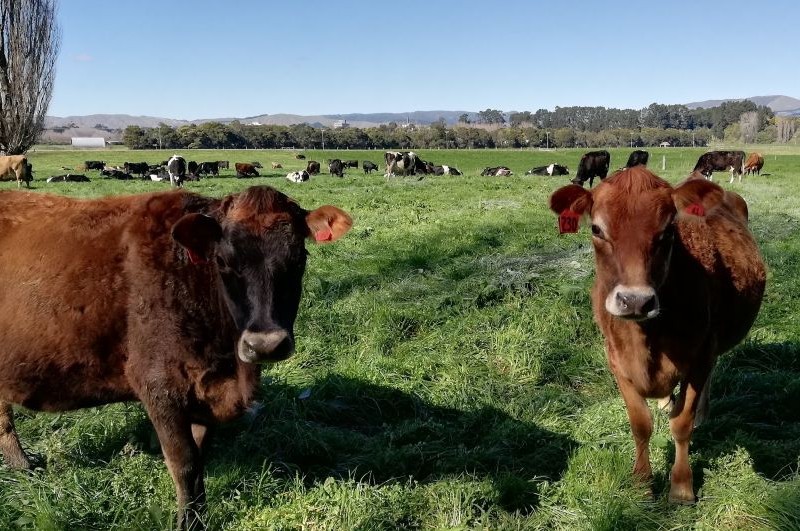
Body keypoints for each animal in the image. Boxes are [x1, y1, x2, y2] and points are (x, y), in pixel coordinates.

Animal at [0, 185, 351, 528]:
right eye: (223, 261)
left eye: (299, 258)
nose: (265, 344)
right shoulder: (161, 389)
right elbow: (184, 463)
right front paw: (189, 522)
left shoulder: (206, 393)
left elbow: (200, 458)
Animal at [549, 166, 765, 505]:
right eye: (596, 229)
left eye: (667, 231)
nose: (635, 300)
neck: (645, 339)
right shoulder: (616, 360)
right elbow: (640, 425)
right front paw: (641, 482)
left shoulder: (701, 357)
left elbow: (681, 424)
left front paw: (681, 487)